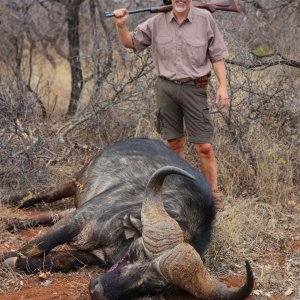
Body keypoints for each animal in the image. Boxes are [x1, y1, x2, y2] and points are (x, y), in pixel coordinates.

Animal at [1, 138, 253, 298]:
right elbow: (38, 244)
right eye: (133, 254)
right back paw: (11, 202)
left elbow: (55, 261)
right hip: (75, 181)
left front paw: (16, 261)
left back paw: (12, 222)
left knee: (54, 213)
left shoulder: (90, 256)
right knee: (46, 195)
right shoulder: (78, 221)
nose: (98, 291)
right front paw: (8, 257)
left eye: (147, 287)